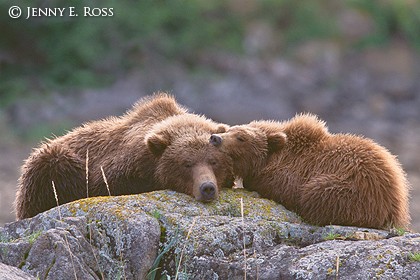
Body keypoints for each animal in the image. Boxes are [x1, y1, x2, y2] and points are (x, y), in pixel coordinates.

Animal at [210, 114, 410, 230]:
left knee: (317, 194)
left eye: (241, 137)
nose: (215, 138)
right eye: (230, 129)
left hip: (354, 189)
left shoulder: (290, 174)